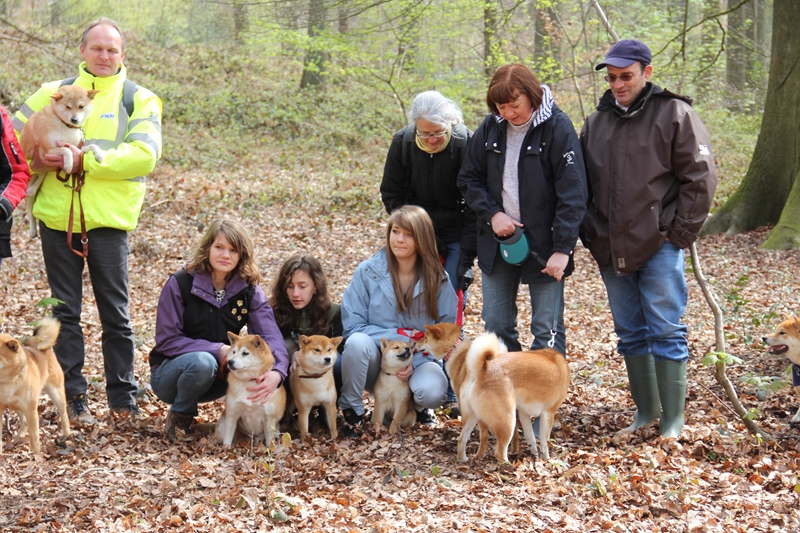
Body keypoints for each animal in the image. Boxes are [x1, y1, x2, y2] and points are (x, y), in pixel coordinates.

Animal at [0, 316, 70, 454]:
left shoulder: (31, 410)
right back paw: (19, 438)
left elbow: (34, 437)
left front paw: (35, 454)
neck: (7, 381)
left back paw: (67, 435)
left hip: (56, 394)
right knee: (23, 422)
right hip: (18, 406)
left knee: (64, 415)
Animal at [418, 320, 568, 462]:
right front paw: (545, 459)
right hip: (507, 419)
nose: (415, 344)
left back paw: (465, 459)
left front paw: (536, 455)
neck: (457, 350)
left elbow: (532, 438)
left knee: (463, 440)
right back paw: (506, 464)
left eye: (425, 337)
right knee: (499, 451)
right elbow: (544, 442)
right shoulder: (547, 413)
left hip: (477, 415)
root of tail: (481, 369)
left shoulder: (526, 413)